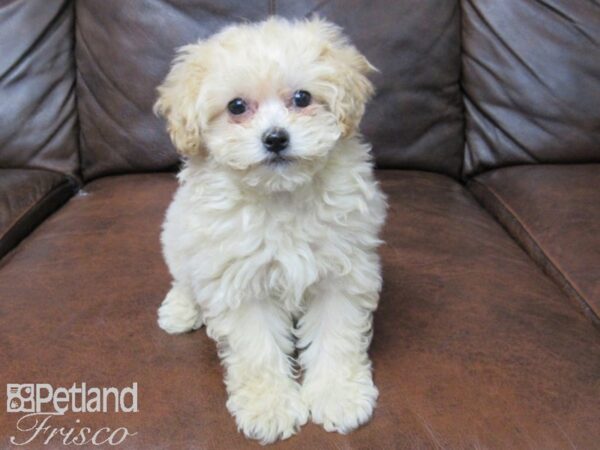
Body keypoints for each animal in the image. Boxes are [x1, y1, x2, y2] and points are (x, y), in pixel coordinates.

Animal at [155, 16, 386, 442]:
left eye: (302, 98)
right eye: (237, 106)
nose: (276, 138)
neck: (281, 194)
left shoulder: (341, 271)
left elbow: (337, 335)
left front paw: (339, 396)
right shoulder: (240, 283)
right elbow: (258, 350)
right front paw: (270, 407)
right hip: (177, 234)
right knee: (185, 279)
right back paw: (180, 310)